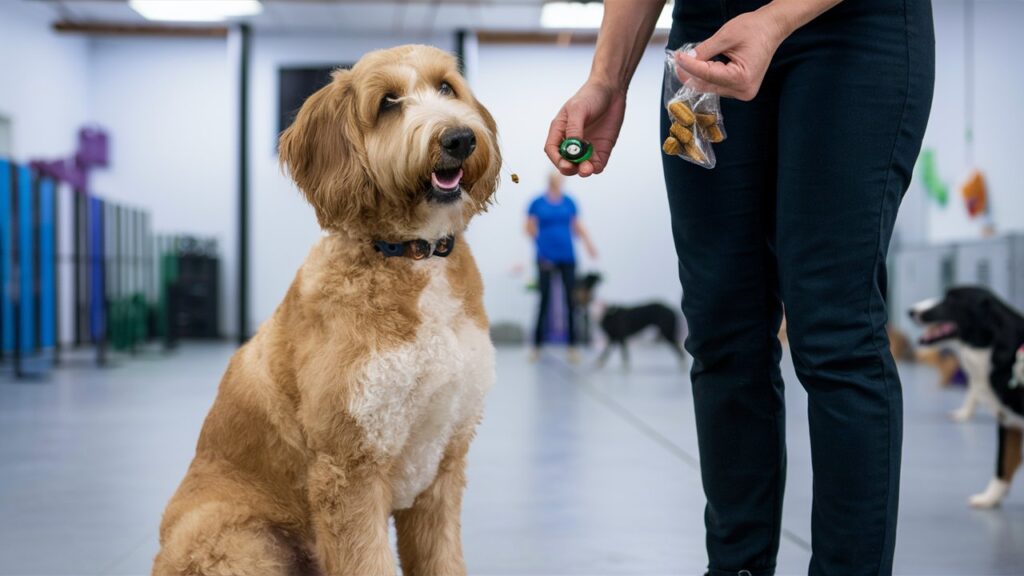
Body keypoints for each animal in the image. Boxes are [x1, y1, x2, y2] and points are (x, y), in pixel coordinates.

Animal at [151, 44, 499, 573]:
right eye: (388, 102)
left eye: (446, 88)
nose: (459, 138)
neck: (411, 256)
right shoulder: (348, 471)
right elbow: (368, 561)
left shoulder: (442, 468)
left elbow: (442, 559)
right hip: (241, 544)